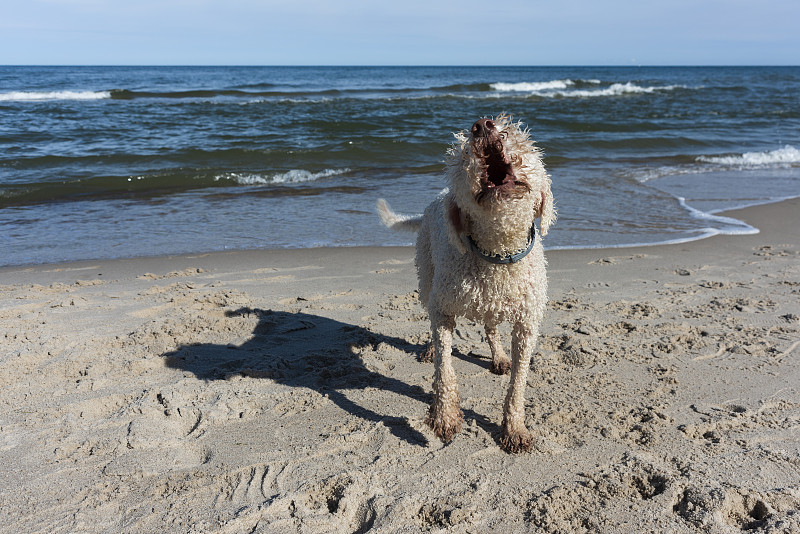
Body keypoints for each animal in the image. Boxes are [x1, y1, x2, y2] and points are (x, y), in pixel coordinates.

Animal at [376, 115, 552, 454]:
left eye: (520, 137)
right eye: (461, 155)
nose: (482, 125)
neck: (497, 254)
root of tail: (436, 199)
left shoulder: (528, 322)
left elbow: (518, 382)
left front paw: (514, 428)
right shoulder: (443, 307)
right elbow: (445, 368)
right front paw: (444, 417)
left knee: (491, 327)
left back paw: (498, 356)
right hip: (427, 277)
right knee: (431, 318)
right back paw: (431, 348)